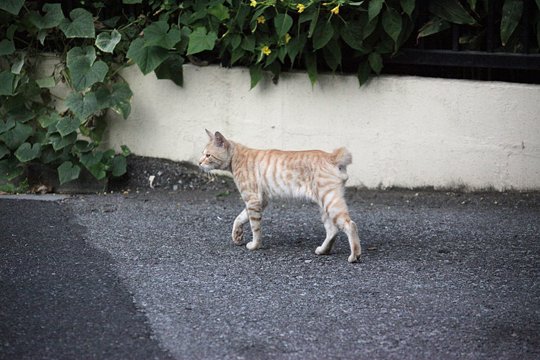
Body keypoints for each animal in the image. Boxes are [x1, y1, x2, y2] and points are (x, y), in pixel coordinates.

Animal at [199, 129, 362, 262]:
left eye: (208, 155)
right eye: (202, 154)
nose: (199, 163)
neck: (236, 157)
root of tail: (332, 156)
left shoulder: (253, 200)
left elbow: (254, 227)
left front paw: (255, 245)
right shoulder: (260, 201)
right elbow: (239, 218)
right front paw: (237, 236)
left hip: (330, 202)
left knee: (350, 225)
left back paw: (355, 255)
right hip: (324, 206)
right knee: (333, 230)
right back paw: (323, 250)